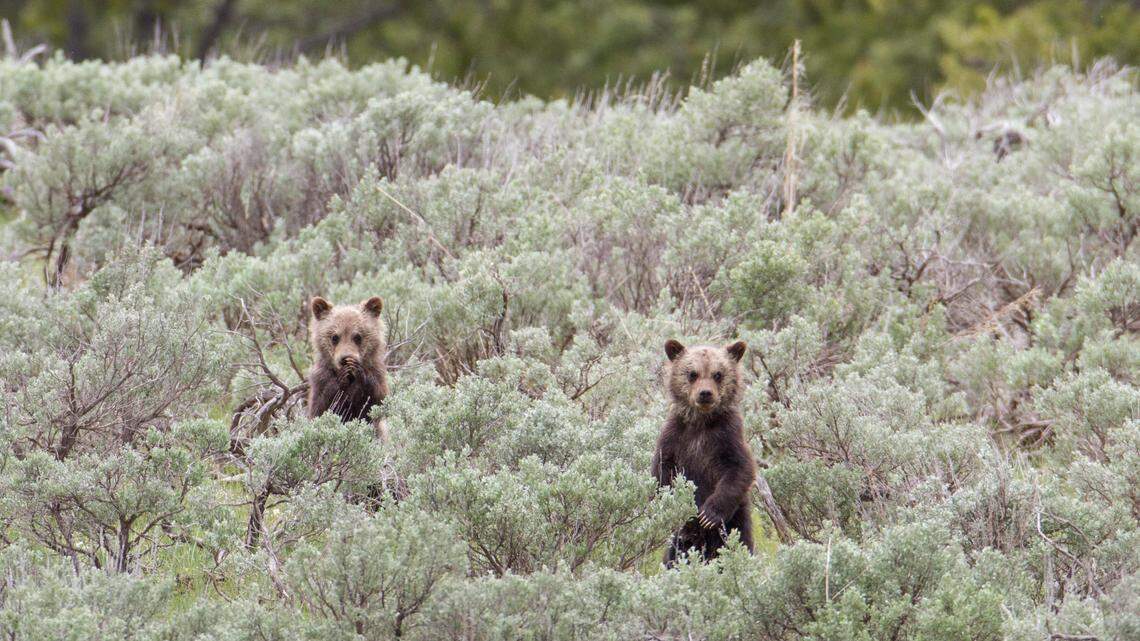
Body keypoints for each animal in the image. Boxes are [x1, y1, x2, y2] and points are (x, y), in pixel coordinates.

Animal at [306, 296, 389, 437]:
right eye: (335, 337)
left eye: (357, 336)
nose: (345, 359)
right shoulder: (320, 379)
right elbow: (319, 408)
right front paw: (341, 378)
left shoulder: (378, 374)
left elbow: (378, 401)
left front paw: (359, 372)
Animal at [651, 339, 757, 566]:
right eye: (692, 373)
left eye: (718, 374)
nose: (705, 393)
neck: (701, 423)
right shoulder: (675, 436)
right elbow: (663, 471)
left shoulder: (727, 437)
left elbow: (739, 470)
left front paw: (709, 515)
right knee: (676, 552)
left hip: (738, 520)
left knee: (740, 541)